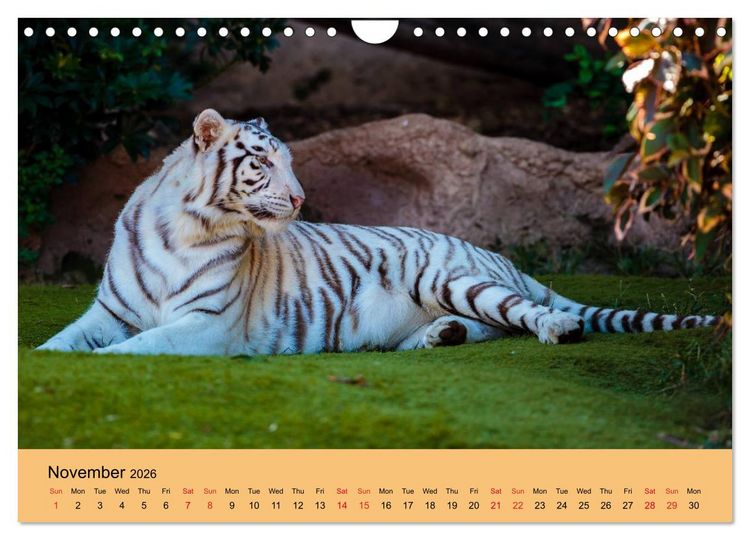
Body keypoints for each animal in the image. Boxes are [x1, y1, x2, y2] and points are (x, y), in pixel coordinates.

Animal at [37, 109, 718, 356]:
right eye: (265, 162)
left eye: (290, 162)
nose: (302, 196)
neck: (185, 224)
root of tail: (492, 252)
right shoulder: (110, 311)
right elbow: (65, 341)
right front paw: (46, 362)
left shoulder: (207, 325)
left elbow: (133, 351)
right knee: (490, 328)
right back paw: (437, 338)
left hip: (453, 278)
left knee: (523, 314)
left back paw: (556, 329)